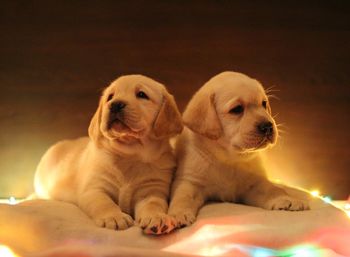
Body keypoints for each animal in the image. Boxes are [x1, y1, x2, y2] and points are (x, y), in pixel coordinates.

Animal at [34, 74, 183, 234]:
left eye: (142, 95)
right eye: (110, 97)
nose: (115, 104)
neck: (130, 154)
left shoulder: (152, 191)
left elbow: (153, 205)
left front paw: (157, 218)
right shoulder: (94, 188)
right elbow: (104, 203)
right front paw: (114, 217)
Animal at [170, 71, 308, 227]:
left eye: (264, 104)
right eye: (237, 109)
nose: (268, 126)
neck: (228, 158)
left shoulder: (254, 184)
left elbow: (273, 189)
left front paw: (287, 199)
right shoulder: (189, 181)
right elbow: (182, 197)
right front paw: (178, 214)